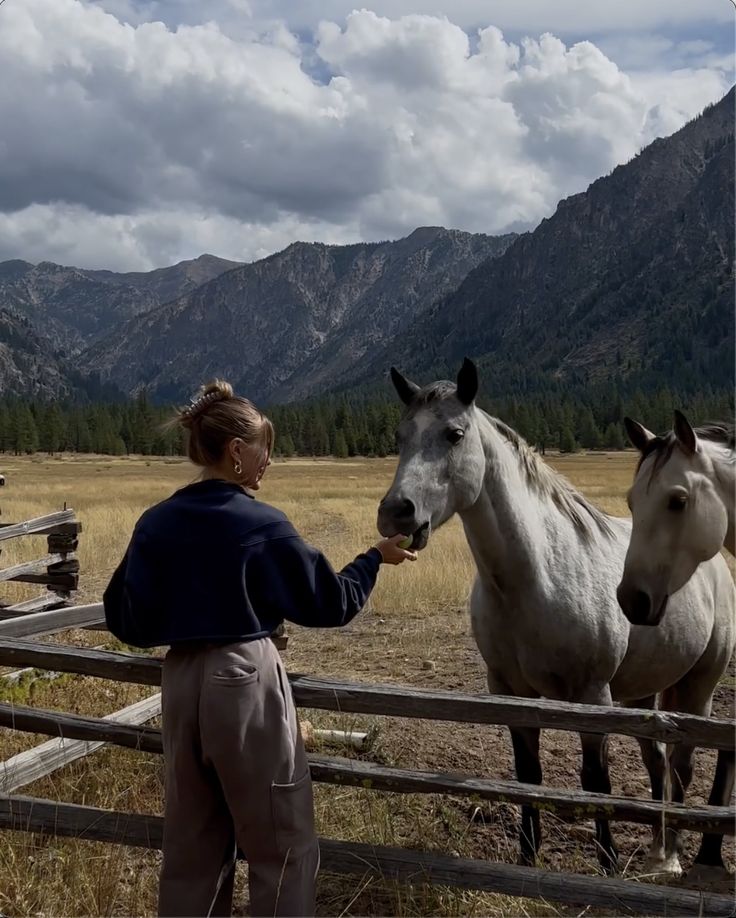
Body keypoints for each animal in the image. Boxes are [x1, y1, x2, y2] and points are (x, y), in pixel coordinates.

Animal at [380, 360, 736, 876]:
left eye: (454, 434)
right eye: (400, 435)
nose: (395, 512)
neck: (534, 579)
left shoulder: (593, 697)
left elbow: (596, 782)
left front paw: (607, 864)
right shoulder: (510, 693)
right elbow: (528, 776)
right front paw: (528, 858)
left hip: (699, 686)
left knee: (689, 762)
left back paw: (680, 856)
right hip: (644, 693)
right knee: (659, 761)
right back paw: (657, 847)